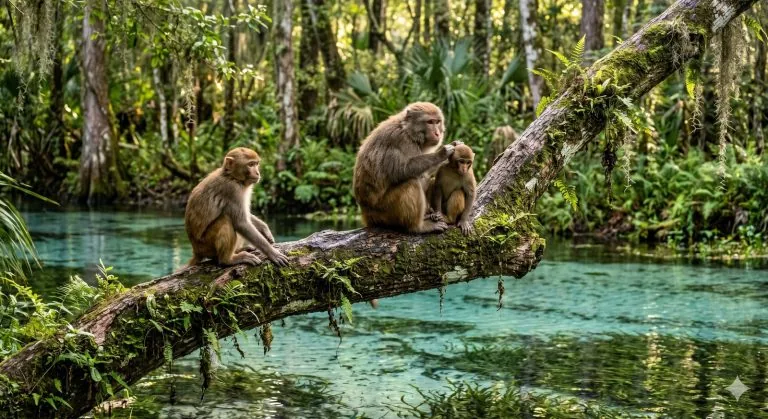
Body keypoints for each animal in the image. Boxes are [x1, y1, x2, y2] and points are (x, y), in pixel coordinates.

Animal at [353, 102, 456, 233]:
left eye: (437, 122)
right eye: (430, 122)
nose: (437, 133)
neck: (408, 130)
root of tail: (366, 214)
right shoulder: (400, 140)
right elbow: (403, 170)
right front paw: (442, 154)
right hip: (384, 212)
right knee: (411, 182)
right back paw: (418, 227)